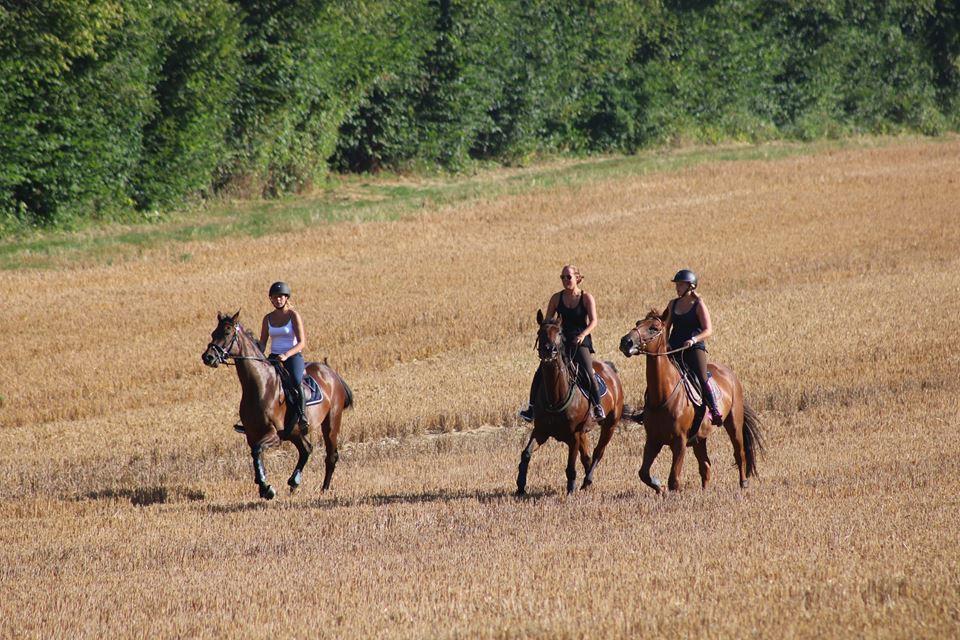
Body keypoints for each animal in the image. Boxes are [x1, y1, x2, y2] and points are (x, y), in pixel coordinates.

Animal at [201, 310, 354, 500]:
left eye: (227, 332)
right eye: (214, 333)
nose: (208, 357)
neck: (260, 385)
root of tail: (331, 373)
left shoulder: (274, 435)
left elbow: (257, 451)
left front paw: (267, 488)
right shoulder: (252, 434)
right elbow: (255, 455)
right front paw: (262, 485)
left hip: (331, 423)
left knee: (331, 456)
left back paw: (324, 489)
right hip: (294, 431)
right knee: (306, 449)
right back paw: (294, 482)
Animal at [512, 310, 628, 496]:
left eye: (559, 333)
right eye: (540, 332)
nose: (549, 350)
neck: (556, 397)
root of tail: (610, 368)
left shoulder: (574, 435)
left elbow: (570, 466)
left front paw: (570, 491)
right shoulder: (541, 431)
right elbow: (526, 454)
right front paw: (520, 486)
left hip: (610, 424)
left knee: (598, 452)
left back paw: (587, 481)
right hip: (584, 433)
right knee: (587, 457)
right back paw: (588, 484)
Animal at [624, 312, 764, 492]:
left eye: (653, 328)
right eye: (638, 323)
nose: (626, 341)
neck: (663, 395)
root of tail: (730, 375)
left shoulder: (679, 441)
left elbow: (674, 480)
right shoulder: (653, 440)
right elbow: (643, 473)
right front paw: (659, 487)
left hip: (734, 423)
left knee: (739, 453)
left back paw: (743, 484)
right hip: (700, 438)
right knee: (705, 465)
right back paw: (704, 492)